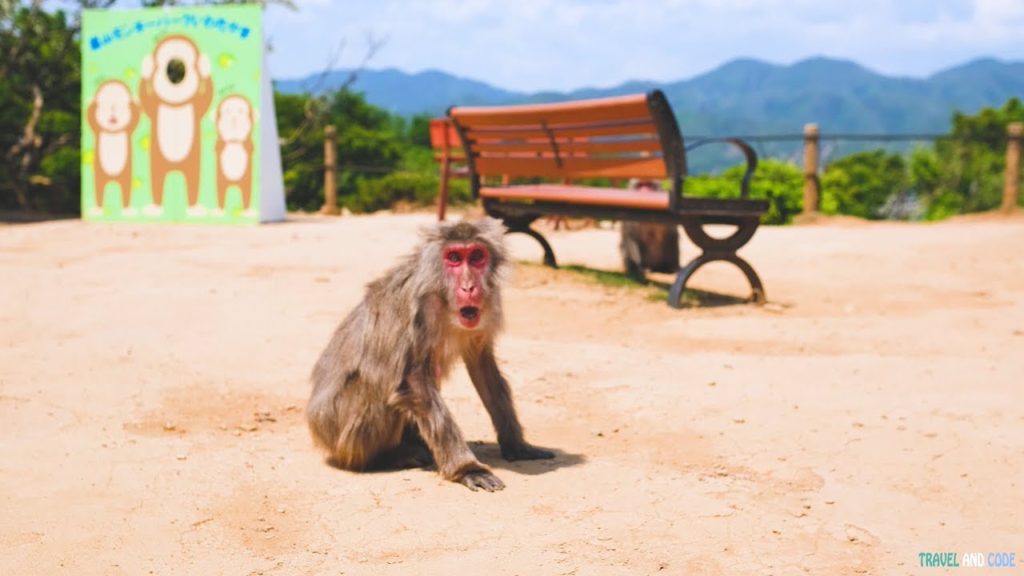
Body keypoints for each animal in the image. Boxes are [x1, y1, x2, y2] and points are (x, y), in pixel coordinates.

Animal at [138, 35, 213, 217]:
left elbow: (206, 96)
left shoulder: (197, 106)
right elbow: (146, 98)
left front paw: (205, 65)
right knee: (157, 181)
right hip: (158, 162)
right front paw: (147, 66)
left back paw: (194, 209)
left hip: (192, 163)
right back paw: (155, 208)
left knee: (192, 182)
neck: (175, 103)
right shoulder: (154, 107)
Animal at [306, 219, 554, 491]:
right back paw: (387, 456)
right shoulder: (420, 308)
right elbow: (413, 382)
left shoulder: (489, 302)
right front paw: (468, 469)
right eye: (454, 257)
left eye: (477, 256)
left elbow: (483, 368)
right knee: (378, 387)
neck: (444, 298)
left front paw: (516, 445)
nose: (469, 287)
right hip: (339, 430)